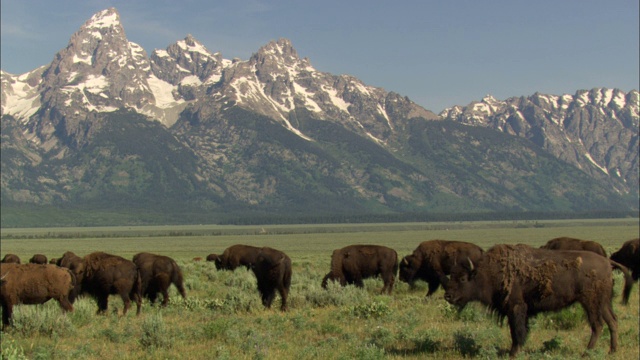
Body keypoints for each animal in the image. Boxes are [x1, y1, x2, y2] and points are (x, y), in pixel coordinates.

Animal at [444, 245, 620, 358]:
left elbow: (517, 331)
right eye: (450, 276)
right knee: (612, 321)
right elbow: (518, 331)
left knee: (597, 325)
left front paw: (513, 353)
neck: (487, 272)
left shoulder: (516, 308)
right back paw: (612, 351)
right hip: (603, 303)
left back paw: (586, 353)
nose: (448, 296)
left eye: (462, 278)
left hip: (590, 302)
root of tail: (607, 262)